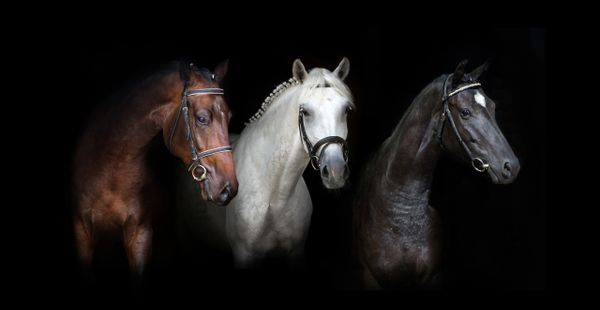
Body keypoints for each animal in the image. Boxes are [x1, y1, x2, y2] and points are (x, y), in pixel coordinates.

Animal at [71, 60, 237, 276]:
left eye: (229, 117)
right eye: (202, 118)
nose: (228, 188)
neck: (109, 167)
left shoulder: (140, 234)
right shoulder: (81, 231)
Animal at [177, 58, 356, 266]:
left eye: (346, 110)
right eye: (305, 111)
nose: (336, 172)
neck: (274, 196)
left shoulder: (296, 252)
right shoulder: (244, 255)